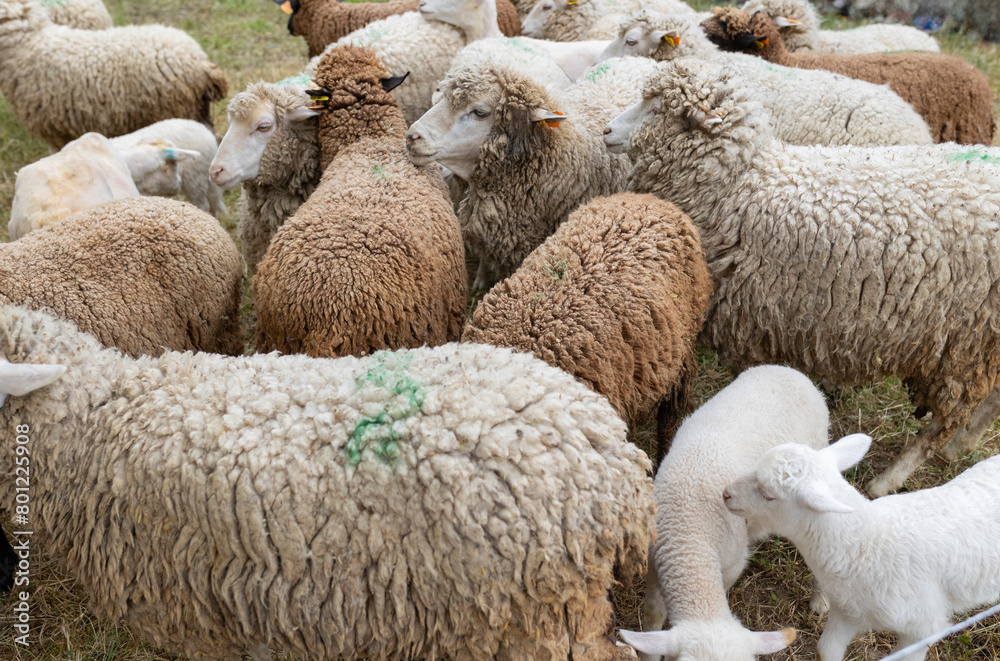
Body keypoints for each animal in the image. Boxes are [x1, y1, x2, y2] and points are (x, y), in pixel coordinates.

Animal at [604, 55, 1000, 498]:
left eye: (657, 108)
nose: (606, 131)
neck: (736, 186)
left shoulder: (750, 317)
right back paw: (962, 445)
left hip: (967, 342)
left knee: (943, 421)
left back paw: (888, 479)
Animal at [619, 365, 829, 661]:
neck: (689, 532)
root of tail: (792, 371)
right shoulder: (655, 563)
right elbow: (653, 617)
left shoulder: (729, 567)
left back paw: (820, 601)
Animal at [723, 434, 1000, 661]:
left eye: (767, 494)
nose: (726, 494)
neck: (866, 544)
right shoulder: (846, 610)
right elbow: (825, 651)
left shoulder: (923, 628)